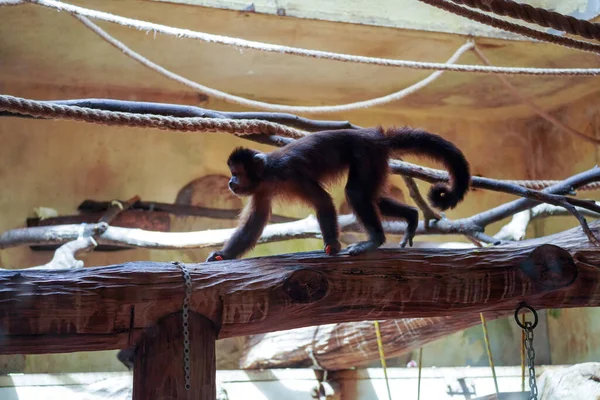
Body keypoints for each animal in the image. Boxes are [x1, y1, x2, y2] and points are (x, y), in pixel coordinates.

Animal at [206, 126, 468, 262]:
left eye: (237, 173)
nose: (230, 182)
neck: (268, 174)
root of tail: (374, 135)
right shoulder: (261, 189)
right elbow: (255, 222)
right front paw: (224, 255)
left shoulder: (291, 174)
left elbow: (322, 201)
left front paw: (332, 245)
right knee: (373, 198)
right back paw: (411, 216)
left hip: (366, 154)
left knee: (355, 193)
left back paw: (374, 241)